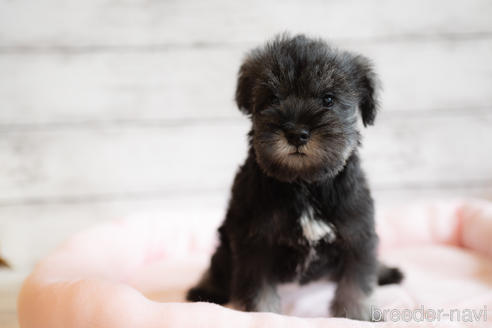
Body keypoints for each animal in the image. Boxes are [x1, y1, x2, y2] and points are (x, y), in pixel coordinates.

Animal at [186, 34, 402, 322]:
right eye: (272, 98)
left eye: (328, 99)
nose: (297, 133)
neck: (304, 183)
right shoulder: (254, 242)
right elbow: (257, 289)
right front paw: (262, 315)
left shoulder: (356, 234)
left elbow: (356, 284)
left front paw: (357, 315)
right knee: (218, 266)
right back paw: (205, 290)